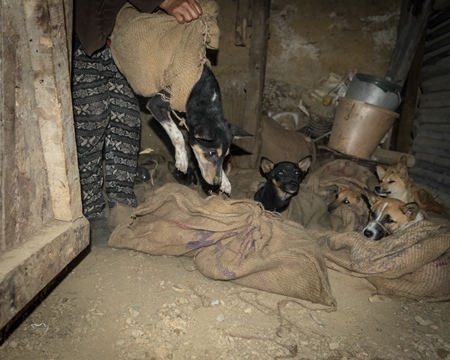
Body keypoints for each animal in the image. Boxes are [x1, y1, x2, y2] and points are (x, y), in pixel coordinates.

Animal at [146, 64, 251, 194]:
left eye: (226, 156)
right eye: (211, 153)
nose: (217, 182)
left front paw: (225, 182)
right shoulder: (156, 104)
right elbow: (177, 134)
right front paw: (182, 158)